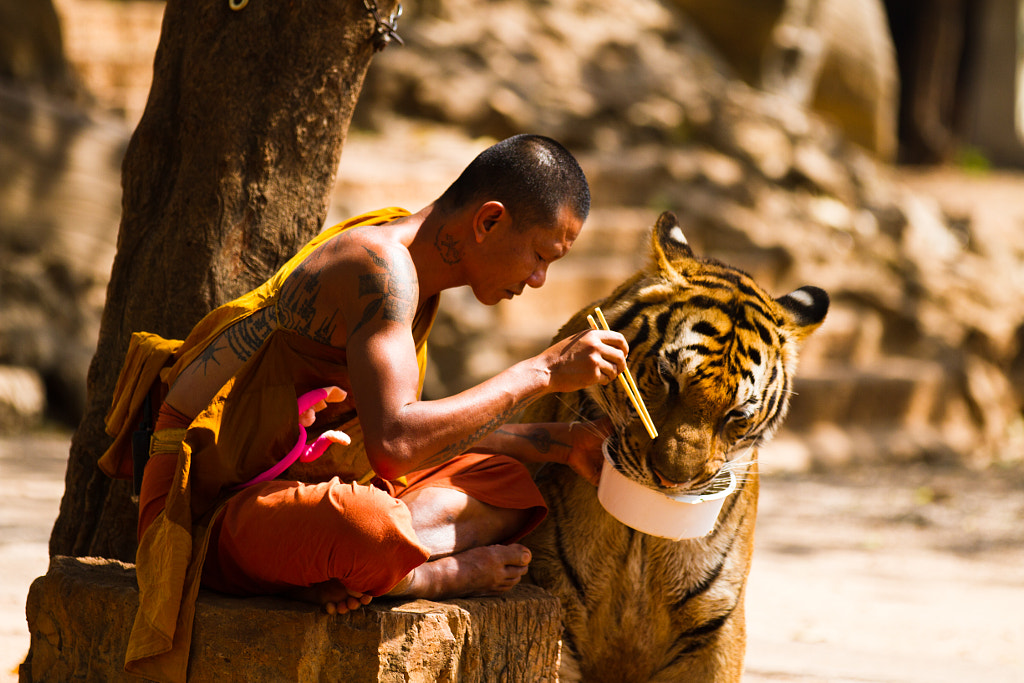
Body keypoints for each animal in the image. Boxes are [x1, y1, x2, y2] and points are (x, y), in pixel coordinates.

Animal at [524, 210, 827, 679]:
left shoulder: (714, 626)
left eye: (736, 415)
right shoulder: (556, 601)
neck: (640, 536)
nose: (671, 480)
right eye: (668, 379)